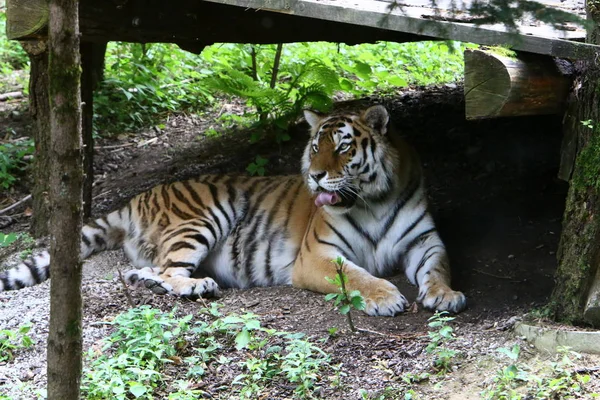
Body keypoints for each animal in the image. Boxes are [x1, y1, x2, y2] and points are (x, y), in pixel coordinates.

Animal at [0, 105, 466, 316]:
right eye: (316, 145)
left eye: (343, 147)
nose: (315, 176)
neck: (372, 200)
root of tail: (136, 198)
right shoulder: (317, 255)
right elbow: (355, 275)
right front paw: (386, 297)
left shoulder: (425, 241)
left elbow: (439, 267)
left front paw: (445, 295)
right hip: (206, 216)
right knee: (168, 269)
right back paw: (197, 286)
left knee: (147, 270)